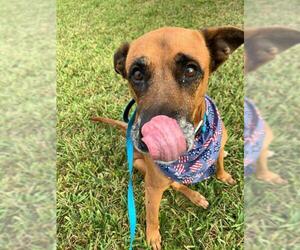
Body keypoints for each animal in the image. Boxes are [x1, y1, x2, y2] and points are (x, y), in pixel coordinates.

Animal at [92, 26, 244, 249]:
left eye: (190, 70)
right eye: (137, 74)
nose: (149, 141)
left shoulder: (217, 144)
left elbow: (219, 162)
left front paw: (223, 175)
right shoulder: (153, 188)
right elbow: (152, 215)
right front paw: (152, 236)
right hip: (139, 164)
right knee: (175, 184)